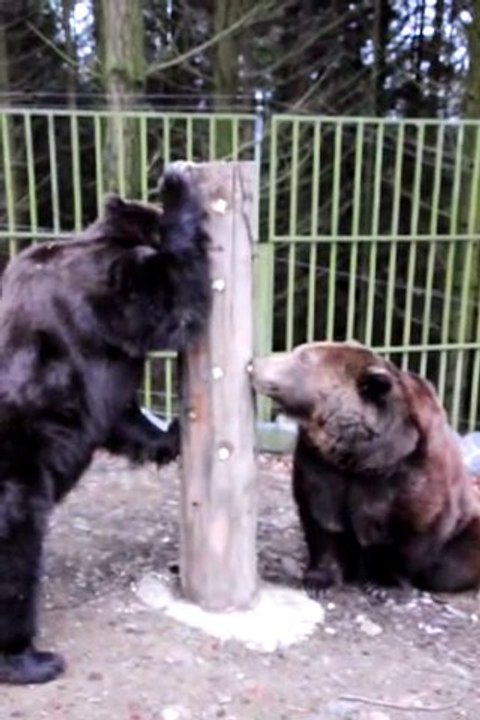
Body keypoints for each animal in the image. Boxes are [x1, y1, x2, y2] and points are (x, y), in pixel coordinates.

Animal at [0, 167, 211, 684]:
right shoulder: (103, 295)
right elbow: (167, 299)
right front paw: (177, 188)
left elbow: (122, 417)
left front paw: (170, 435)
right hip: (15, 481)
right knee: (16, 561)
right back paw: (31, 657)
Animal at [252, 341, 480, 596]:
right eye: (298, 350)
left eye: (303, 358)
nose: (255, 364)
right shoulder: (320, 464)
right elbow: (322, 521)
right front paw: (319, 579)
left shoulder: (412, 469)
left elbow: (415, 528)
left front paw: (384, 585)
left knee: (453, 564)